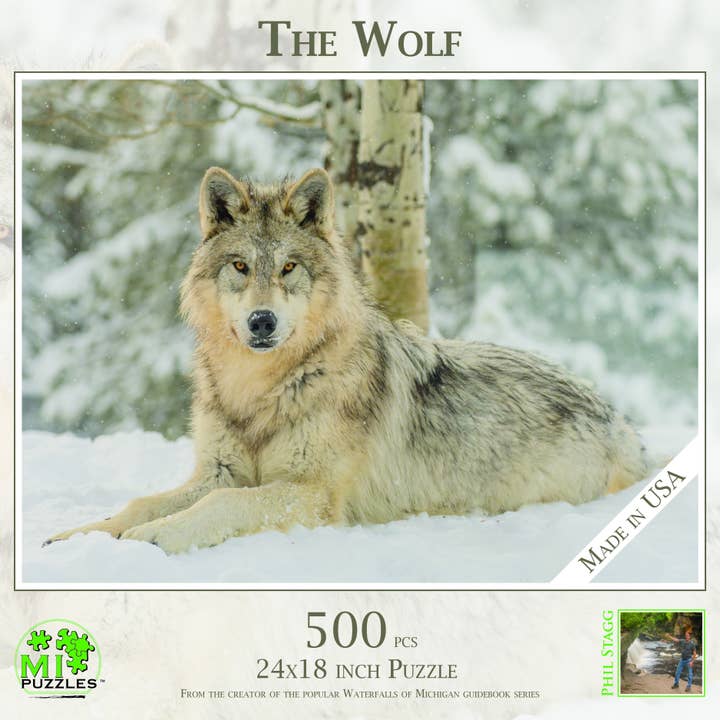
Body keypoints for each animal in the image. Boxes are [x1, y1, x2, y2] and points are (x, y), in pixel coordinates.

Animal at [47, 167, 647, 554]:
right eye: (240, 266)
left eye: (289, 268)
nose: (261, 321)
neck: (260, 390)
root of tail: (619, 419)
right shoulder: (219, 470)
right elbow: (139, 503)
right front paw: (80, 535)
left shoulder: (311, 495)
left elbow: (217, 506)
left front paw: (155, 537)